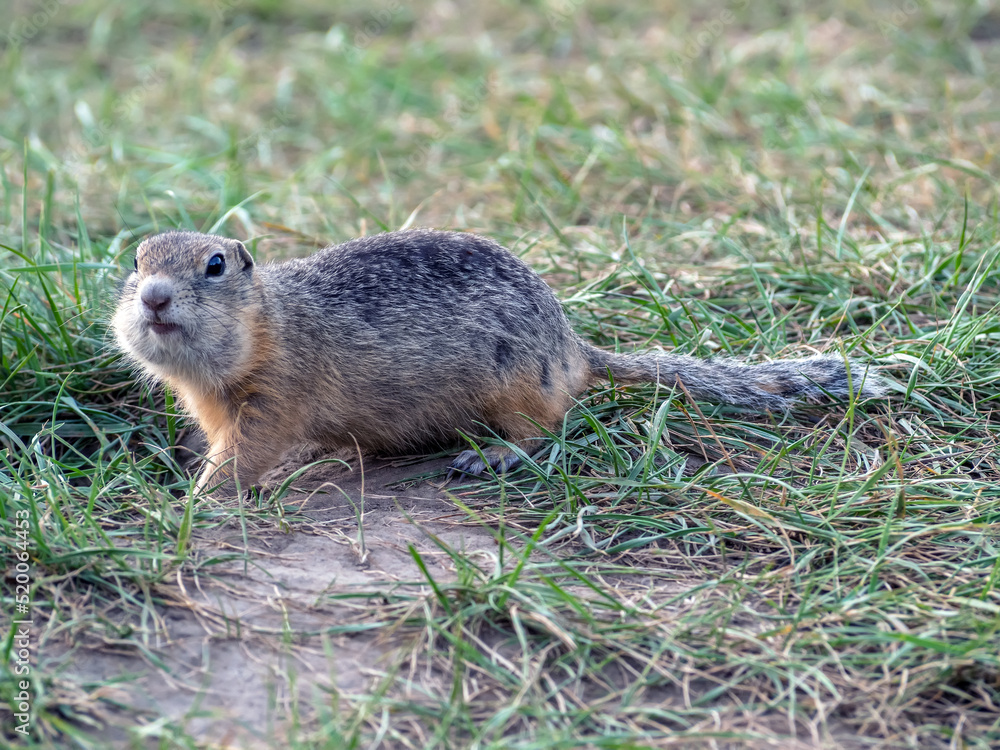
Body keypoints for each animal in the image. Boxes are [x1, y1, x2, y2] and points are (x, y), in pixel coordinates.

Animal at [113, 232, 888, 496]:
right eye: (137, 262)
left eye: (215, 265)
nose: (152, 297)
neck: (270, 324)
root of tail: (574, 350)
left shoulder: (274, 400)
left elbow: (246, 457)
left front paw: (196, 498)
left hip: (514, 389)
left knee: (544, 433)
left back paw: (491, 458)